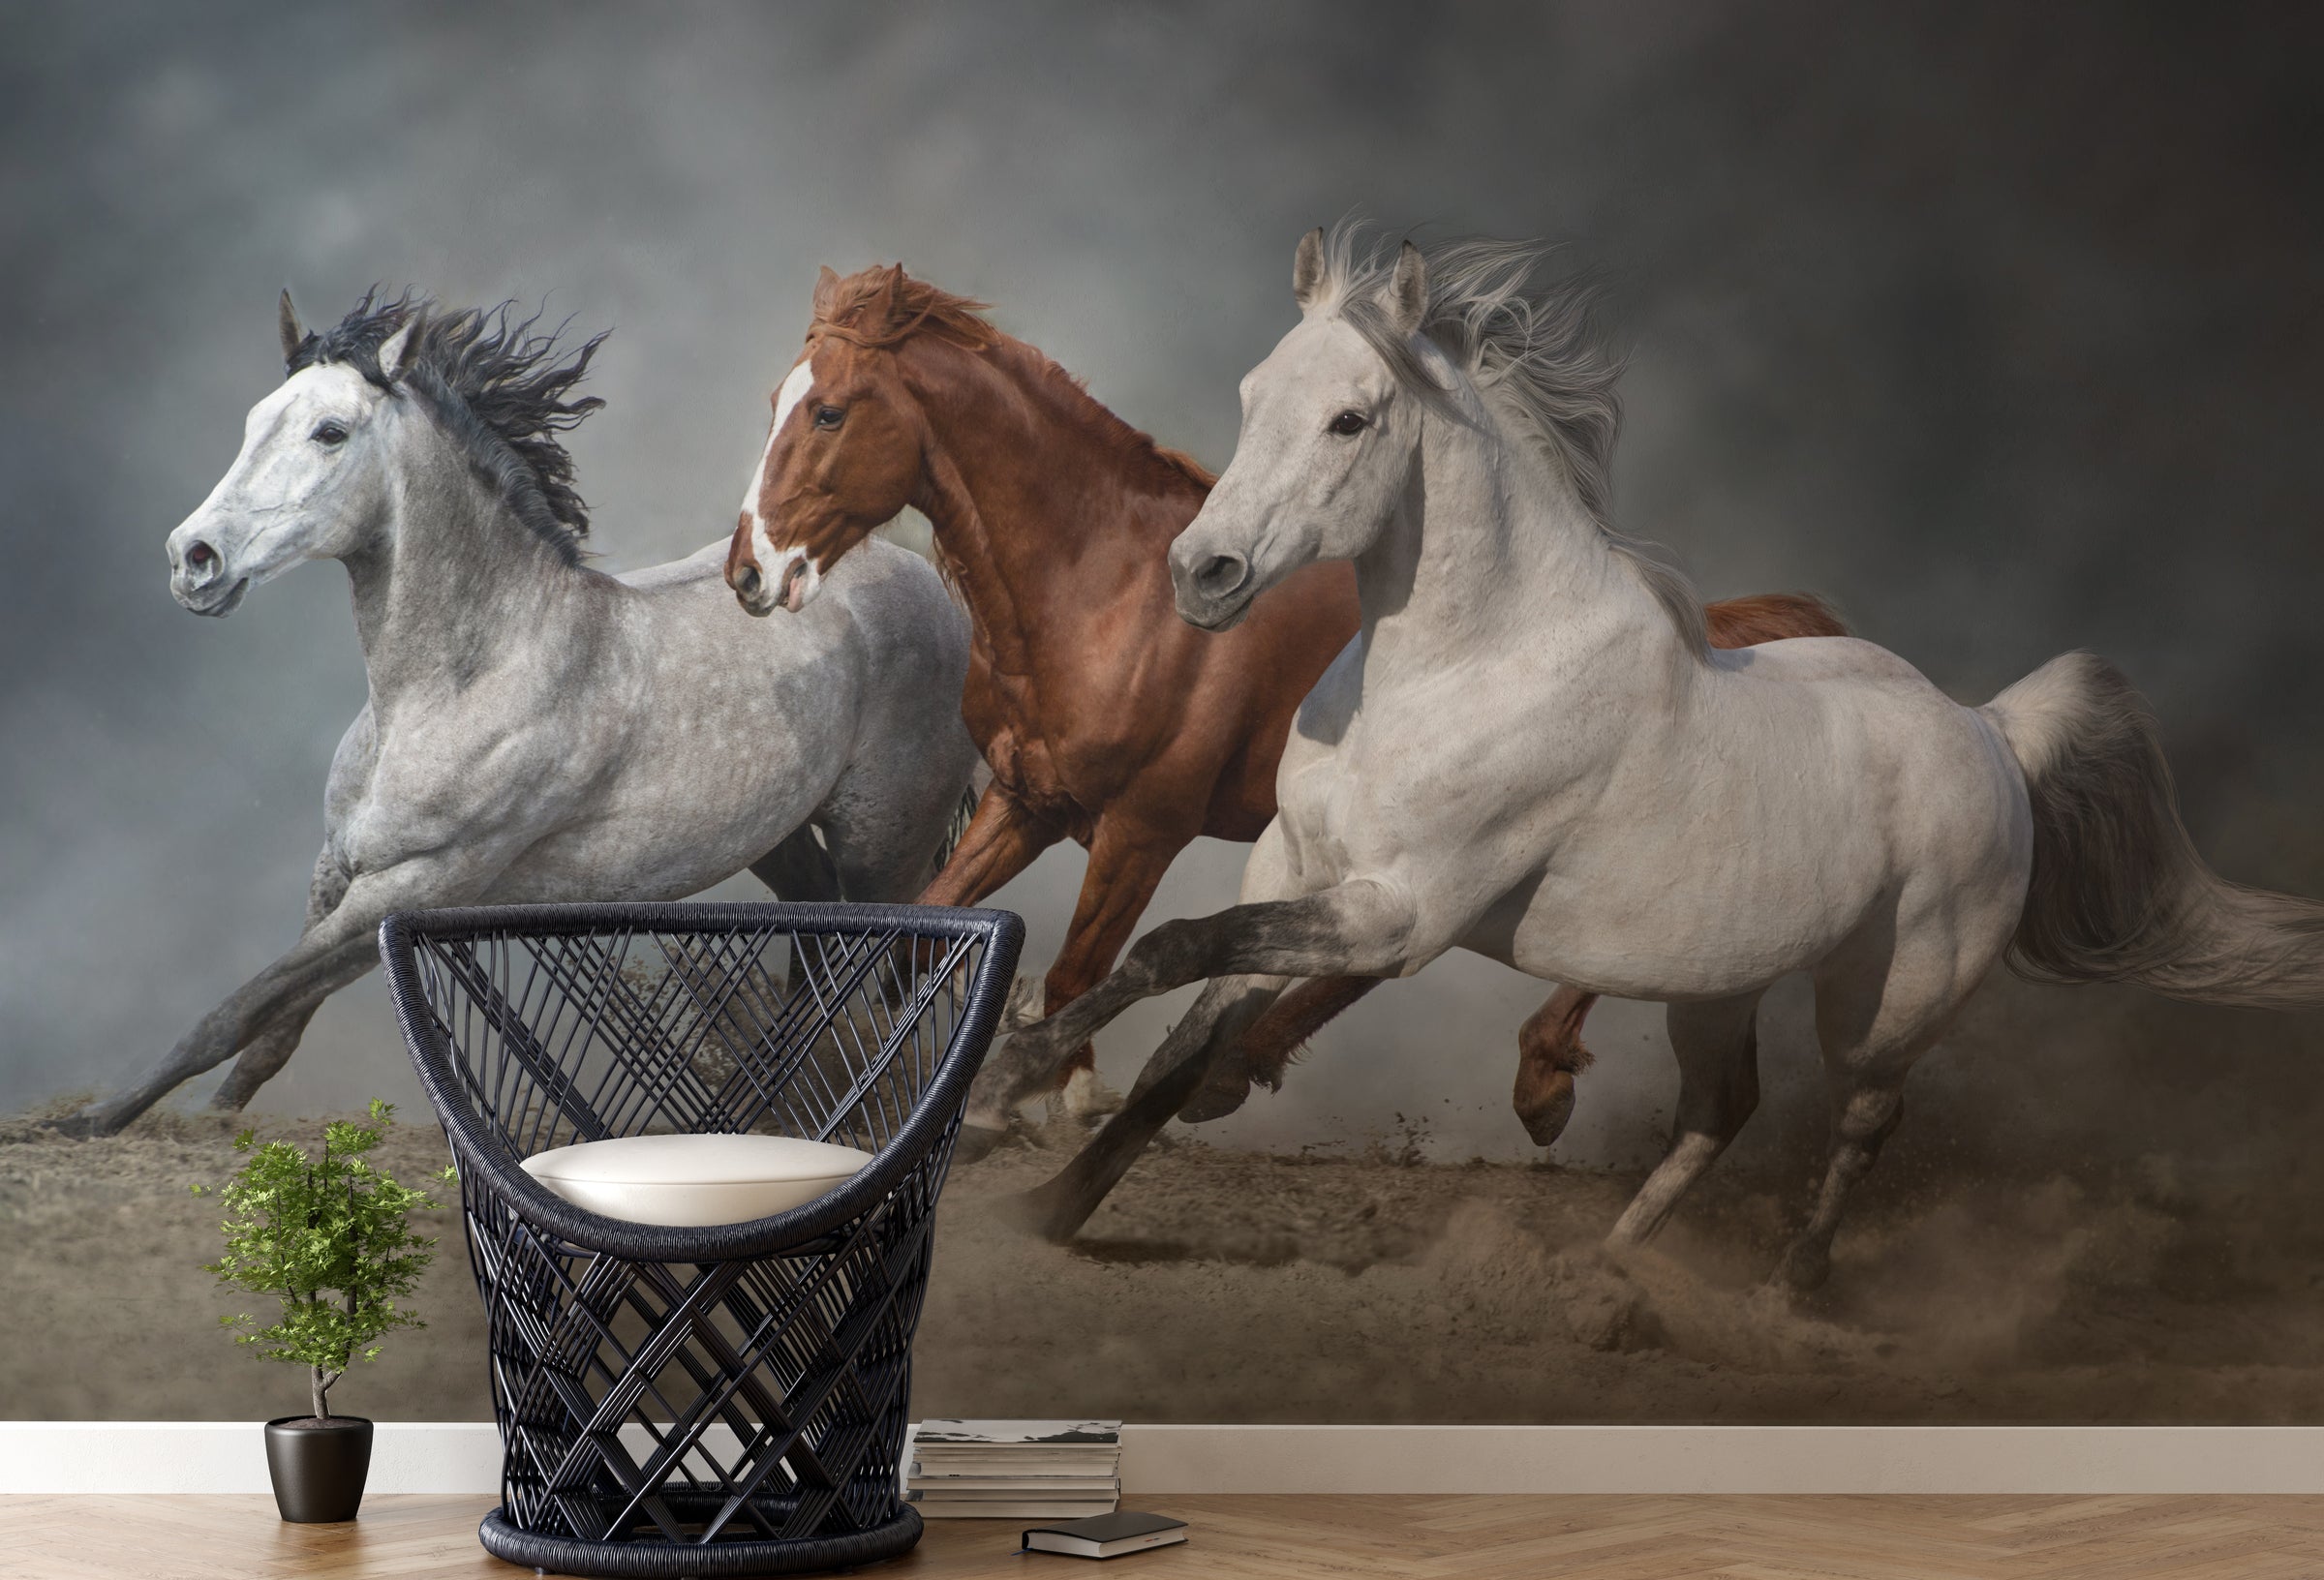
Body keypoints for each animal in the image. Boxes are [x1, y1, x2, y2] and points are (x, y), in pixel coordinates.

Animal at [56, 290, 978, 1136]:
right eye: (254, 422)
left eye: (330, 431)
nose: (193, 560)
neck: (463, 683)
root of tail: (927, 581)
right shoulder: (337, 868)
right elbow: (272, 1028)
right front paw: (210, 1120)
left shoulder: (420, 882)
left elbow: (239, 1008)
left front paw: (94, 1122)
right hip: (774, 836)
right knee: (818, 947)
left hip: (883, 842)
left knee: (877, 978)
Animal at [719, 261, 1846, 1144]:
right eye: (772, 398)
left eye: (828, 410)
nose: (748, 574)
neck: (1104, 590)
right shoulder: (1028, 800)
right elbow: (918, 931)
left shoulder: (1144, 828)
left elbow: (1081, 968)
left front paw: (1051, 1094)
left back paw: (1532, 1082)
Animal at [964, 227, 2324, 1289]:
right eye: (1254, 397)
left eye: (1352, 418)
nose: (1202, 576)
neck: (1462, 670)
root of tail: (1990, 732)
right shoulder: (1293, 868)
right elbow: (1182, 1026)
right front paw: (1048, 1207)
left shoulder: (1393, 917)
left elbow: (1168, 952)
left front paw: (1012, 1069)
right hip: (1714, 987)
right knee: (1722, 1111)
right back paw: (1612, 1265)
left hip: (1887, 998)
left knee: (1867, 1116)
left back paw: (1792, 1287)